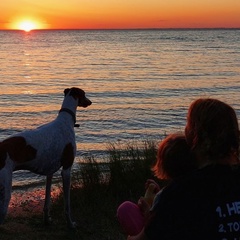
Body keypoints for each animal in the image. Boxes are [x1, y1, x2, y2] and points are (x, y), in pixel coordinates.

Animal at [0, 87, 92, 228]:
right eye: (84, 94)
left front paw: (47, 220)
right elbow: (67, 204)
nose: (90, 102)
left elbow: (47, 201)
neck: (65, 121)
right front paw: (70, 224)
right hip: (5, 191)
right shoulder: (66, 170)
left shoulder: (50, 172)